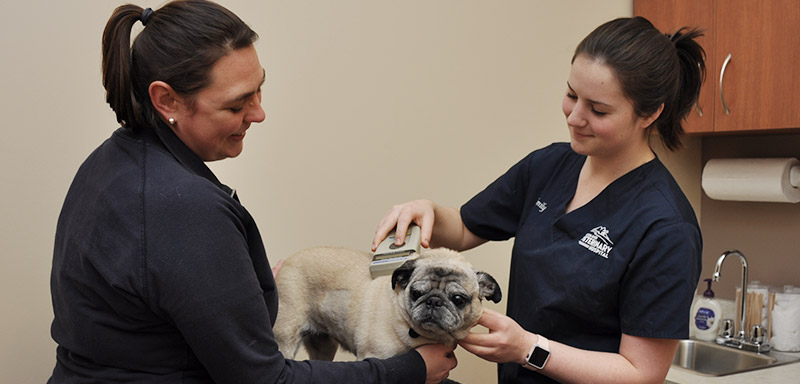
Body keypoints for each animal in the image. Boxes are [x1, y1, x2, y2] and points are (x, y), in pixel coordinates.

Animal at [276, 246, 500, 360]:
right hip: (285, 339)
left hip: (323, 347)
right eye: (416, 293)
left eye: (458, 299)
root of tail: (288, 261)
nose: (434, 301)